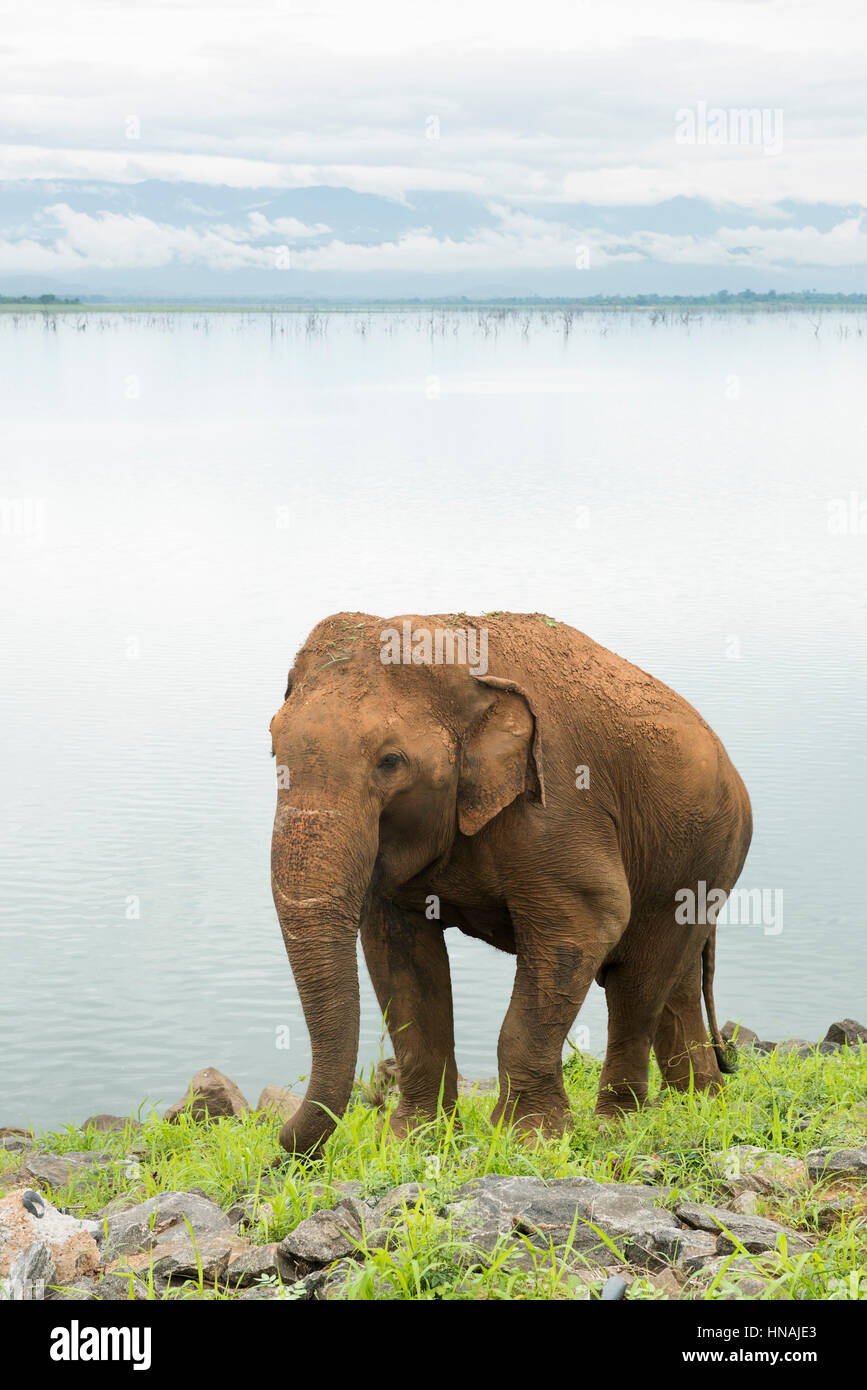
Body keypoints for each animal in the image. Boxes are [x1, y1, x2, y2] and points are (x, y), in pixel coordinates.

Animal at [269, 611, 752, 1155]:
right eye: (271, 746)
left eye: (390, 761)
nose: (281, 1149)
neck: (458, 654)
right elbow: (399, 956)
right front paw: (412, 1141)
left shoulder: (556, 802)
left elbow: (586, 922)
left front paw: (528, 1141)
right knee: (677, 980)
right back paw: (699, 1104)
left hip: (711, 851)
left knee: (637, 979)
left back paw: (617, 1125)